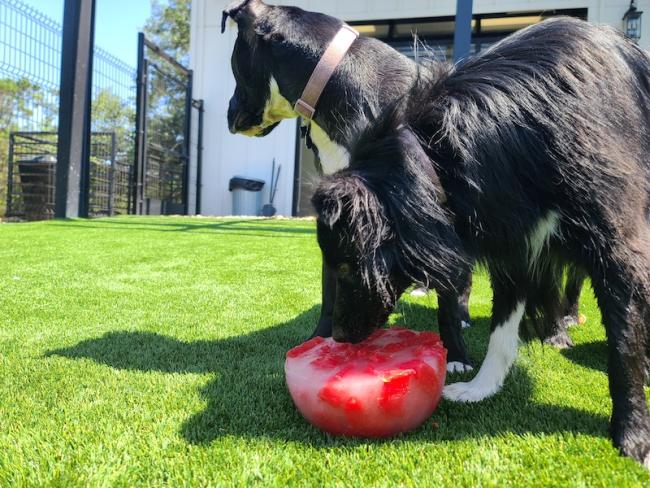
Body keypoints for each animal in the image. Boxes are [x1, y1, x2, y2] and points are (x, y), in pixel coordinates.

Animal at [312, 18, 644, 466]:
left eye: (348, 266)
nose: (338, 340)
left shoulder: (617, 241)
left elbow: (624, 344)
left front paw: (633, 438)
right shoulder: (518, 241)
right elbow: (502, 328)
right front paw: (480, 388)